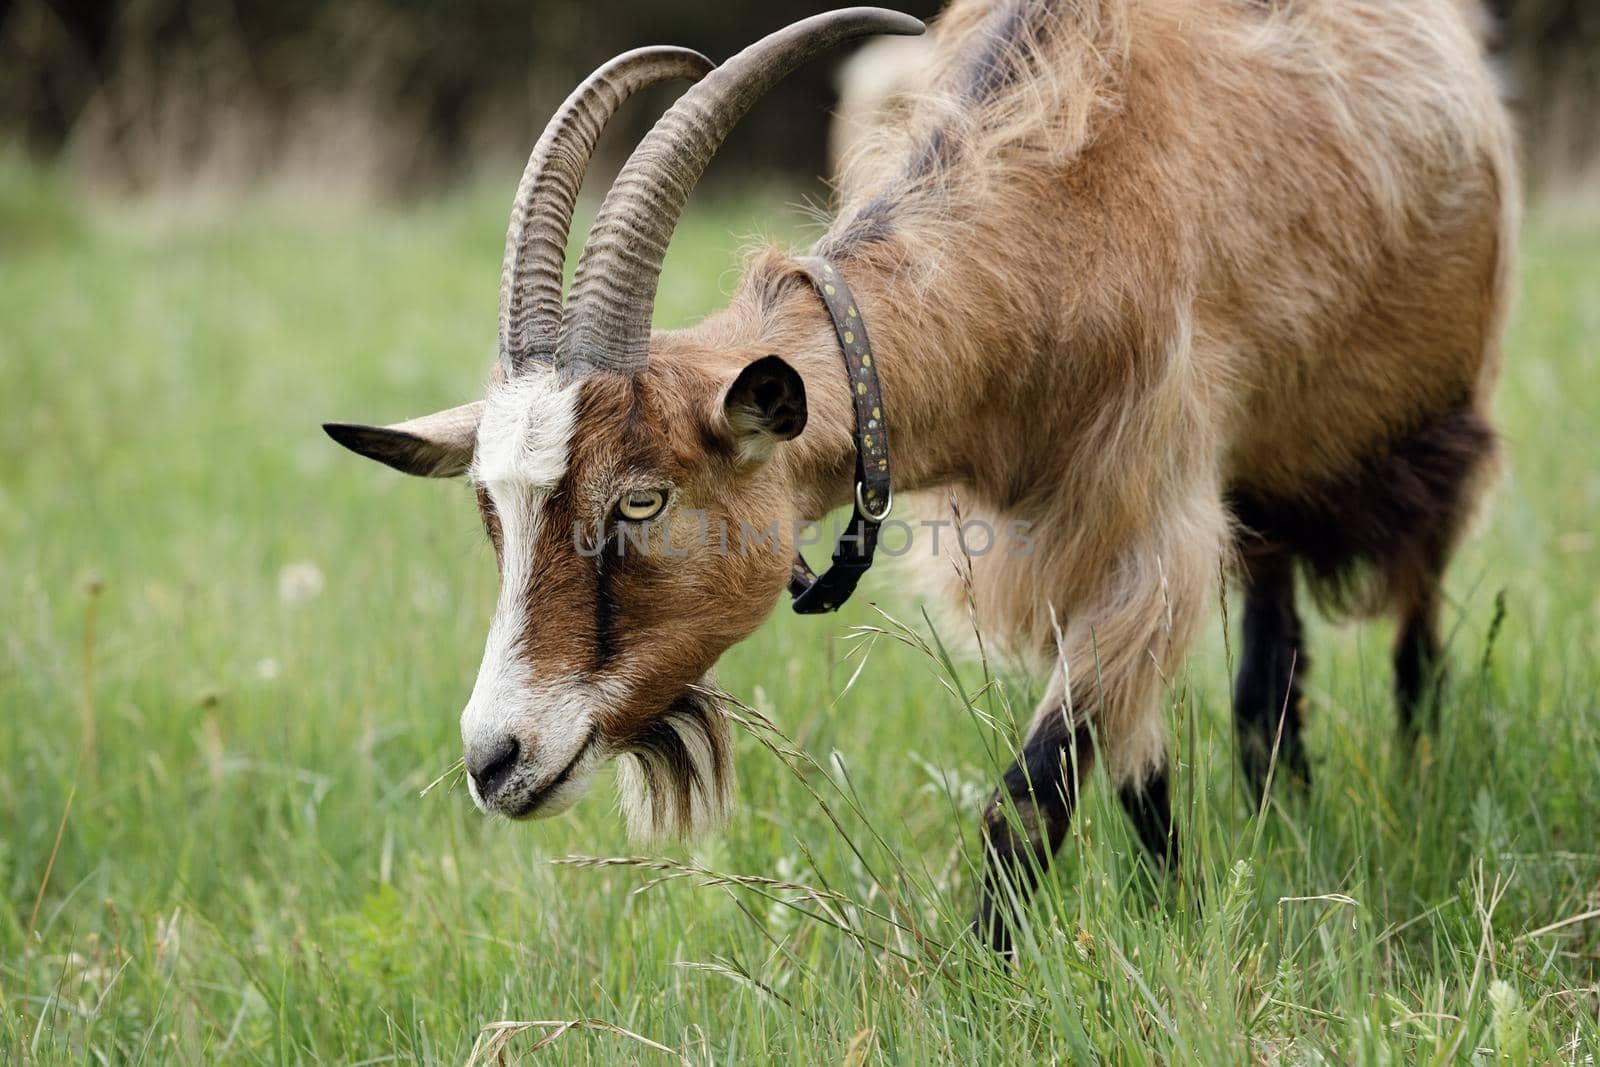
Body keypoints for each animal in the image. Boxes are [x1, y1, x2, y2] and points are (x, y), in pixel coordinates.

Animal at [324, 0, 1510, 953]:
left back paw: (1415, 780)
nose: (495, 756)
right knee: (1271, 664)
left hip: (1435, 425)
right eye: (494, 515)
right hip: (1263, 494)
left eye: (641, 497)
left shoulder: (1149, 525)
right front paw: (1180, 916)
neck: (1073, 226)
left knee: (1416, 634)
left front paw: (991, 979)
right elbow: (1145, 780)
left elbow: (1029, 800)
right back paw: (1286, 812)